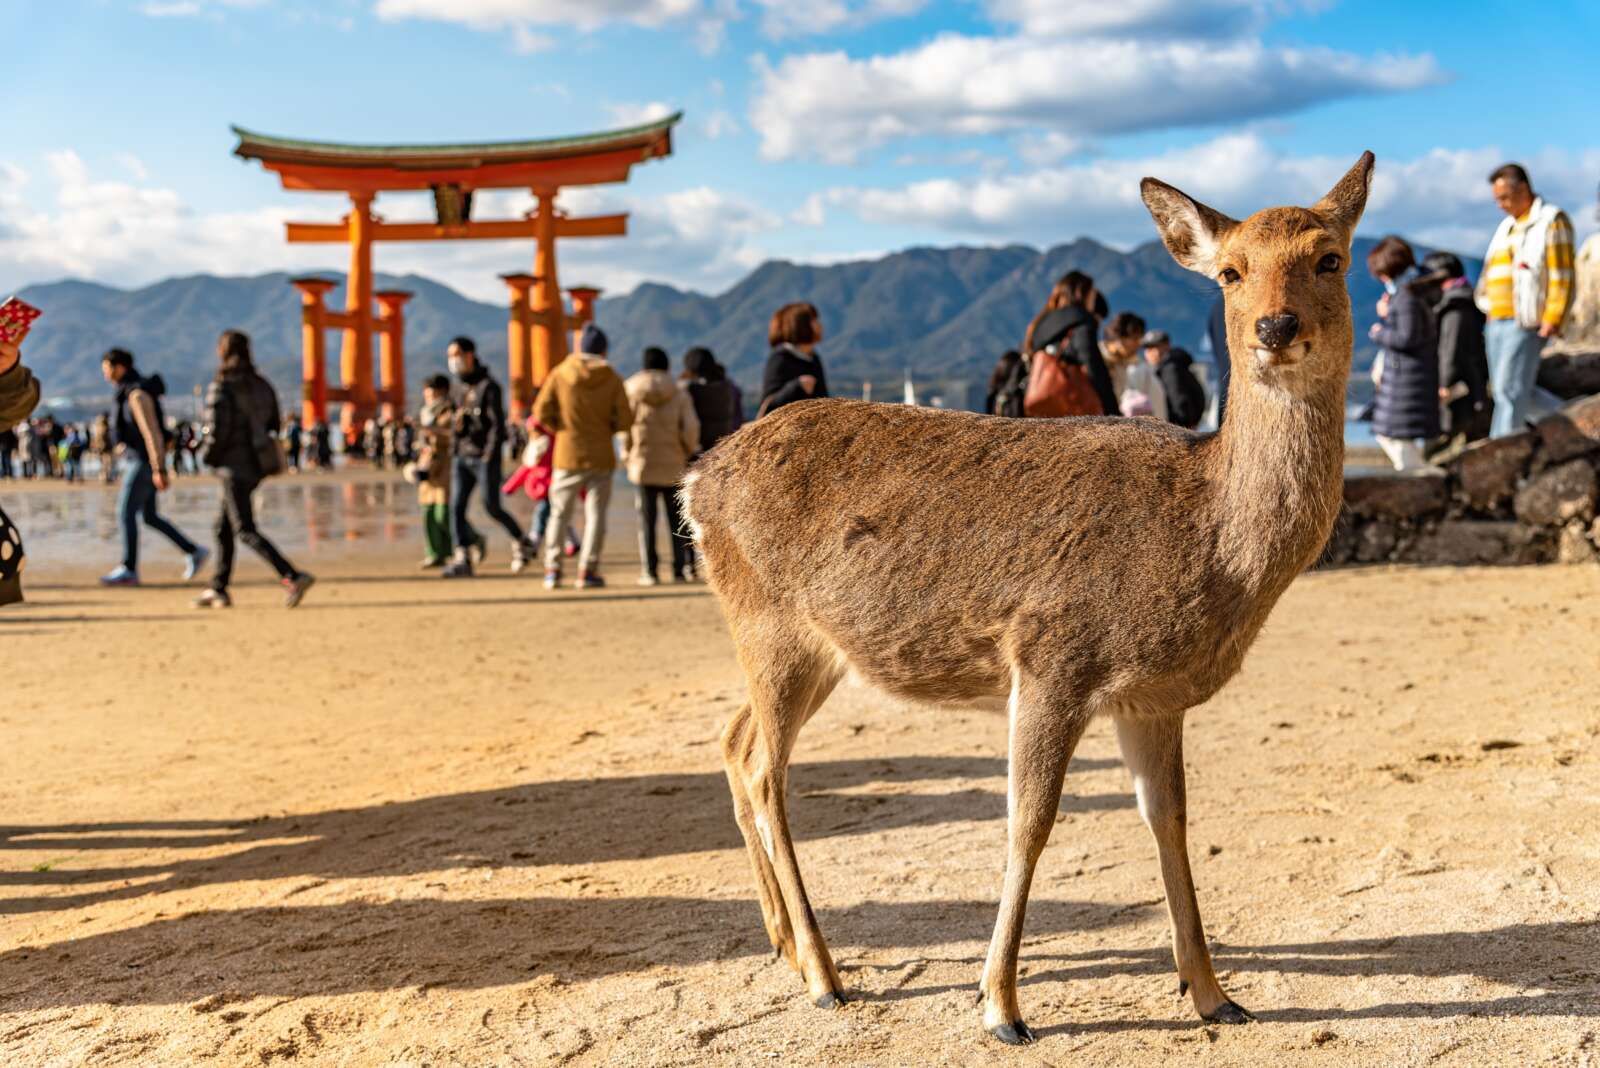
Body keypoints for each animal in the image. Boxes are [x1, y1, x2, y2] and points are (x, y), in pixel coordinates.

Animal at [680, 152, 1374, 1045]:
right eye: (1230, 271)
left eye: (1331, 258)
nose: (1276, 328)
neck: (1209, 539)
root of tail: (695, 483)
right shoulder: (1051, 655)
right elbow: (1030, 821)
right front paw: (1001, 1006)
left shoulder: (1153, 697)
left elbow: (1170, 820)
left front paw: (1214, 993)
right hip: (770, 625)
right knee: (768, 772)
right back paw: (826, 978)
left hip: (813, 648)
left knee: (734, 743)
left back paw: (784, 947)